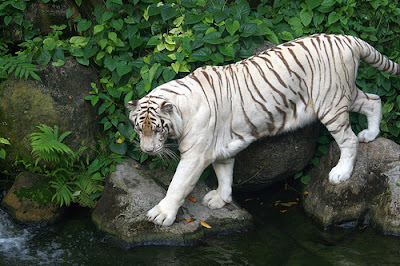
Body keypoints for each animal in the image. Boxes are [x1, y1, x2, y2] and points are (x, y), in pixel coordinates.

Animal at [126, 33, 398, 227]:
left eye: (157, 130)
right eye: (139, 129)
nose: (147, 151)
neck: (181, 112)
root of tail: (347, 38)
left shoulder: (195, 155)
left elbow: (178, 184)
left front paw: (161, 215)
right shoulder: (221, 146)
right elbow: (224, 173)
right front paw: (221, 199)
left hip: (330, 103)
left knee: (349, 139)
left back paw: (341, 173)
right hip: (343, 94)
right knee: (373, 99)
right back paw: (370, 134)